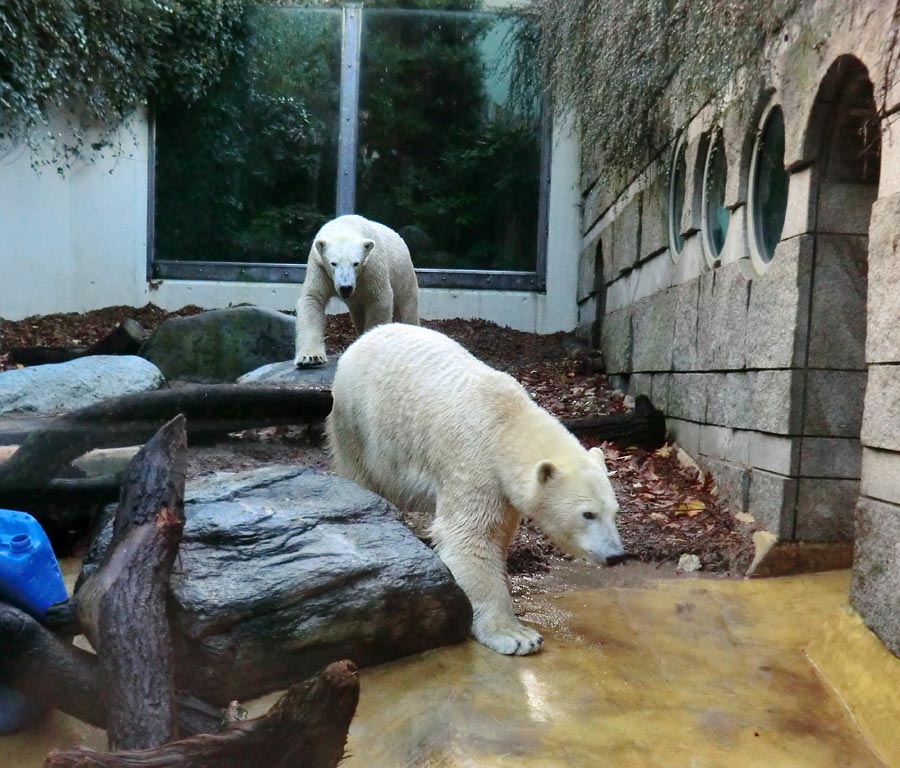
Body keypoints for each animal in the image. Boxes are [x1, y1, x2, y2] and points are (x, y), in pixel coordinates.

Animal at [296, 214, 422, 368]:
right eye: (333, 263)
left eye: (355, 263)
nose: (346, 288)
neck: (345, 226)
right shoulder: (319, 266)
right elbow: (313, 299)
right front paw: (310, 357)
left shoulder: (372, 266)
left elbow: (379, 299)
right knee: (358, 313)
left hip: (403, 273)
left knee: (407, 306)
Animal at [326, 322, 624, 656]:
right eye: (588, 514)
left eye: (614, 512)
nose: (616, 555)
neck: (508, 424)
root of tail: (366, 336)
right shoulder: (475, 462)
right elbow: (472, 538)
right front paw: (517, 635)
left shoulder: (503, 488)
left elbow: (498, 534)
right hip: (357, 419)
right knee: (360, 471)